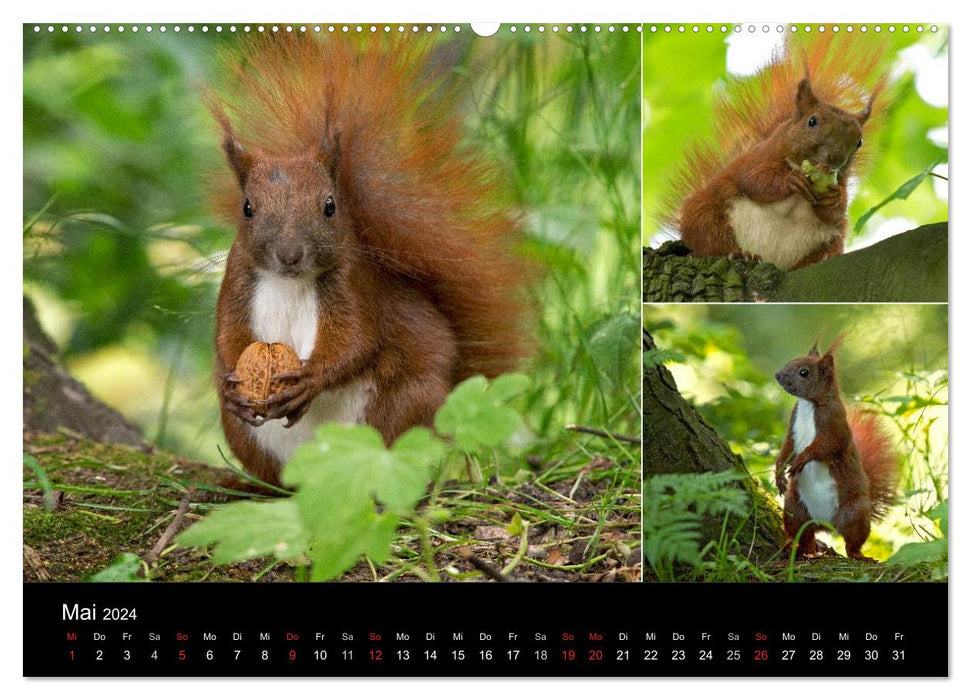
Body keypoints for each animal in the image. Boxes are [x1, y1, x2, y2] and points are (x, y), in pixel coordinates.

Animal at [211, 35, 532, 484]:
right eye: (247, 208)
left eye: (330, 205)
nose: (290, 255)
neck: (289, 282)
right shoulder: (237, 280)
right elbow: (228, 335)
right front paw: (231, 385)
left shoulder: (354, 286)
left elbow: (356, 340)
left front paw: (310, 380)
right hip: (248, 438)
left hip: (403, 409)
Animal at [672, 35, 884, 270]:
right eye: (812, 121)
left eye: (859, 142)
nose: (835, 158)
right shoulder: (760, 157)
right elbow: (755, 180)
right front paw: (790, 180)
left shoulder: (841, 181)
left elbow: (835, 215)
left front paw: (835, 197)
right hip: (705, 212)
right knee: (710, 237)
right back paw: (737, 254)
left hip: (830, 242)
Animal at [780, 340, 900, 564]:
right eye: (791, 360)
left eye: (804, 372)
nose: (777, 375)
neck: (808, 404)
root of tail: (826, 524)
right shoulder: (792, 427)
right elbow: (786, 448)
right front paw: (778, 473)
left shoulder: (834, 422)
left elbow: (827, 446)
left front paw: (801, 460)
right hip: (794, 510)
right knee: (804, 535)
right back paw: (800, 550)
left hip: (855, 514)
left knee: (853, 541)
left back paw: (860, 556)